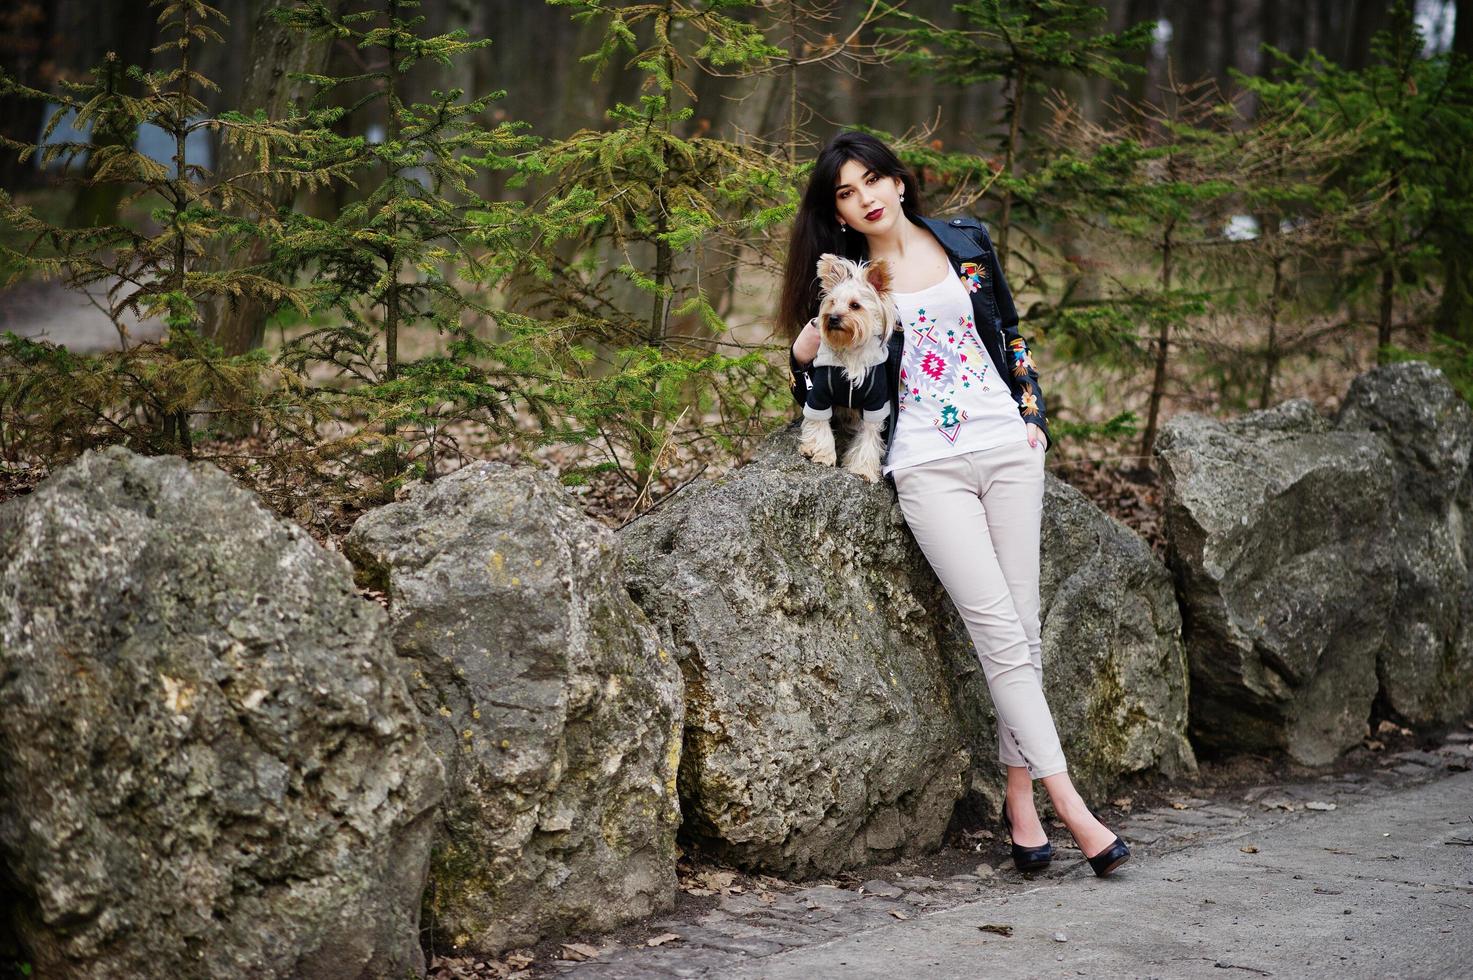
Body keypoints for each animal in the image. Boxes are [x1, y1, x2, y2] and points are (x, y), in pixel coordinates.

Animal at [795, 252, 895, 480]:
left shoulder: (875, 404)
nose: (832, 318)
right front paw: (823, 454)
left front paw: (863, 469)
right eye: (832, 302)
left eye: (855, 305)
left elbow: (869, 437)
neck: (850, 350)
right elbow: (818, 424)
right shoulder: (819, 396)